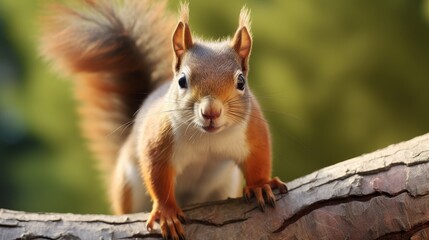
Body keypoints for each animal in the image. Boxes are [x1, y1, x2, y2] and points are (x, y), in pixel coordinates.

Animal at [40, 0, 288, 239]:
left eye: (241, 82)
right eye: (182, 80)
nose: (211, 112)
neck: (208, 139)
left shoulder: (253, 130)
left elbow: (258, 158)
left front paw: (259, 186)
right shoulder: (159, 140)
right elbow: (158, 177)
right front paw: (167, 213)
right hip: (127, 185)